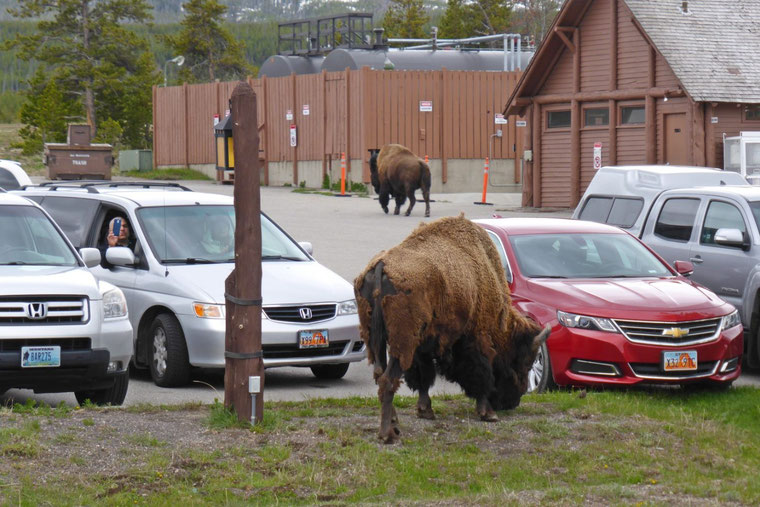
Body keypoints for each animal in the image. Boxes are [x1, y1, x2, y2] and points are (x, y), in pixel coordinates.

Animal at [354, 214, 548, 444]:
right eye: (524, 361)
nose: (512, 402)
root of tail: (381, 266)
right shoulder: (477, 338)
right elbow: (482, 373)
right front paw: (488, 413)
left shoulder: (424, 346)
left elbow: (424, 377)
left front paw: (426, 411)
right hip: (402, 343)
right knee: (388, 380)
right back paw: (388, 434)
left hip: (376, 339)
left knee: (380, 375)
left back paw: (394, 424)